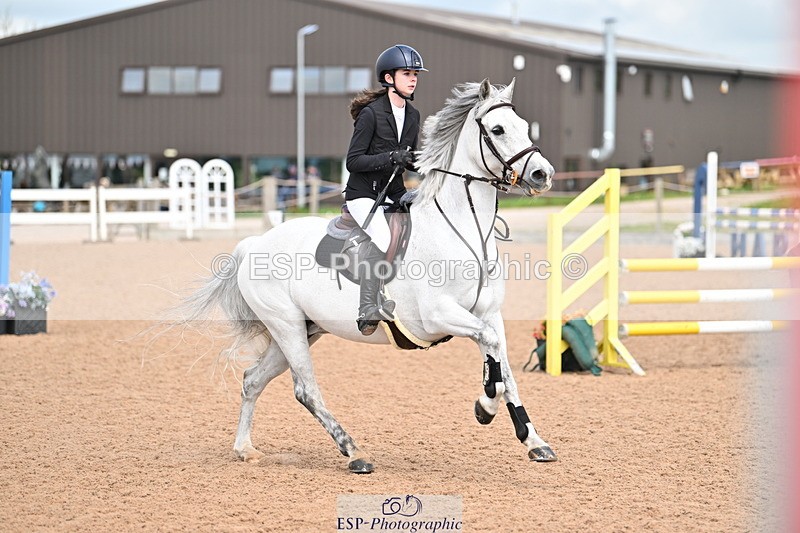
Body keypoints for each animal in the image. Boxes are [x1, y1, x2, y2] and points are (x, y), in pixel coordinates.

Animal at [175, 78, 556, 473]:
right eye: (497, 130)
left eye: (524, 127)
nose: (542, 175)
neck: (461, 229)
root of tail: (254, 243)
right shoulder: (439, 316)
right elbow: (493, 359)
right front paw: (484, 408)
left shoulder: (489, 315)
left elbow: (504, 369)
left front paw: (533, 440)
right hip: (287, 326)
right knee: (305, 390)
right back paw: (353, 451)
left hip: (302, 331)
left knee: (253, 380)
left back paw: (245, 448)